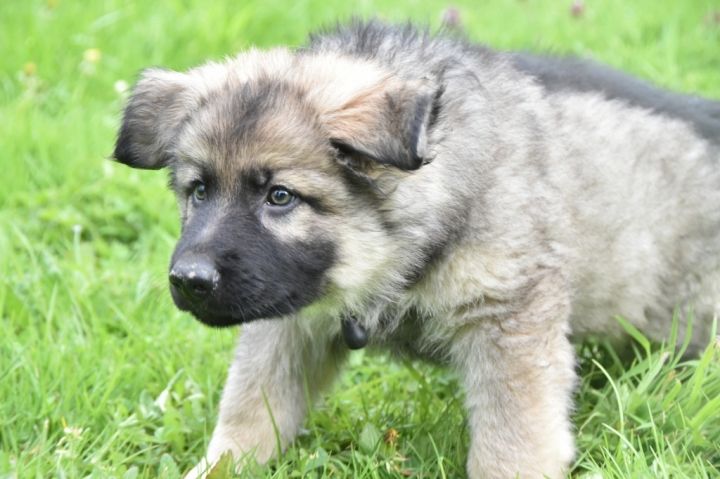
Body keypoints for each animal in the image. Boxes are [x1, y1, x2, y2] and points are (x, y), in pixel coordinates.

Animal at [113, 20, 720, 479]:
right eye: (198, 190)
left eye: (280, 196)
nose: (189, 280)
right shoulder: (288, 315)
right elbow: (250, 413)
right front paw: (219, 466)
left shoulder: (509, 318)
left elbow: (513, 440)